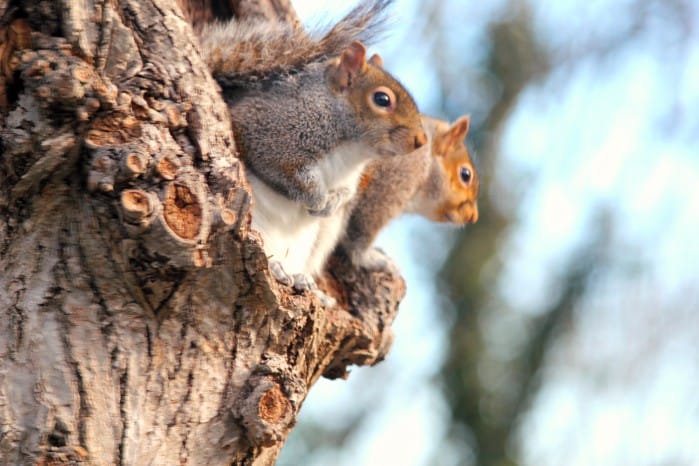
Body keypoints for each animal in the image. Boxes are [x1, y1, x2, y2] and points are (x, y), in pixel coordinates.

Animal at [198, 0, 426, 302]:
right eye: (382, 99)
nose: (421, 140)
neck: (352, 149)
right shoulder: (271, 132)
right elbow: (282, 170)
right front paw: (317, 199)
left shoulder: (350, 176)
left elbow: (346, 192)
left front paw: (333, 201)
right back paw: (277, 268)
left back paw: (306, 283)